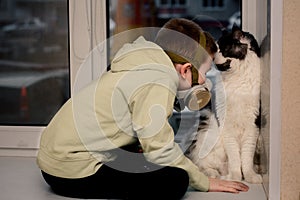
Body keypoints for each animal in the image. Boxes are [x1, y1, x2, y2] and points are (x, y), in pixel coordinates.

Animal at [188, 25, 262, 184]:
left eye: (222, 48)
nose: (213, 56)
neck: (238, 78)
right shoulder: (227, 128)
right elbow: (235, 159)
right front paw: (235, 178)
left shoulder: (252, 128)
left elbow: (246, 159)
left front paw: (250, 176)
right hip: (211, 136)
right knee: (202, 165)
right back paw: (217, 175)